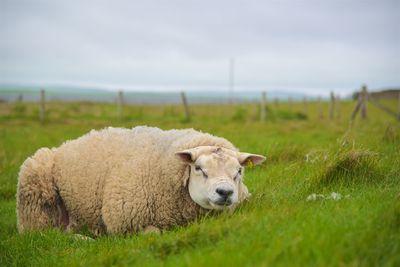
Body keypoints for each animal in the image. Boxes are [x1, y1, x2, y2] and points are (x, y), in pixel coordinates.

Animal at [16, 126, 266, 236]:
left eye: (239, 171)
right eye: (198, 169)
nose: (225, 192)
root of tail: (64, 145)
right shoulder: (125, 221)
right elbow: (154, 234)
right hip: (35, 194)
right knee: (43, 234)